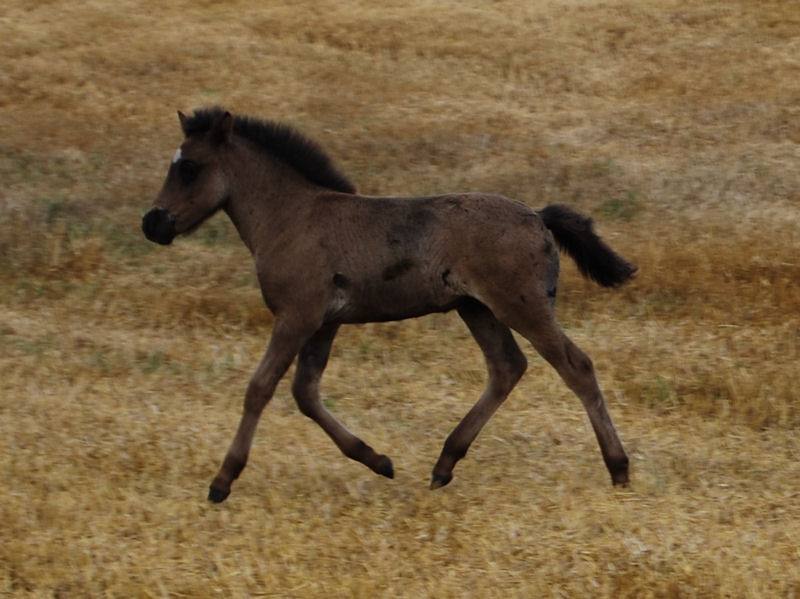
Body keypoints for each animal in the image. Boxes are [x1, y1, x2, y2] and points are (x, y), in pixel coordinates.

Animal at [141, 106, 636, 502]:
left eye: (190, 168)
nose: (152, 223)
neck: (292, 216)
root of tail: (538, 216)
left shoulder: (297, 316)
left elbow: (260, 388)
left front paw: (222, 481)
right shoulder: (323, 322)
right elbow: (305, 393)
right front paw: (378, 460)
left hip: (521, 305)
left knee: (575, 366)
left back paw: (619, 470)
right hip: (475, 307)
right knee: (507, 367)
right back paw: (443, 464)